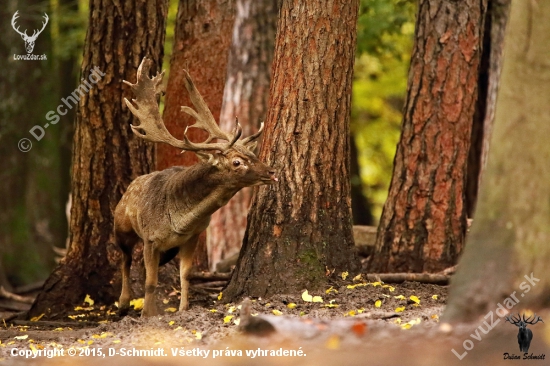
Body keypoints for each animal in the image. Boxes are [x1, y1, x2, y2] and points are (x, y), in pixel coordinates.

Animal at [117, 58, 280, 318]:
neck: (179, 222)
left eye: (252, 154)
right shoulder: (151, 239)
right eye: (237, 162)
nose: (271, 171)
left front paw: (183, 309)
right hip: (121, 227)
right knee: (124, 259)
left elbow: (185, 275)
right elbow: (151, 281)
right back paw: (123, 303)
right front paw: (147, 315)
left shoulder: (191, 237)